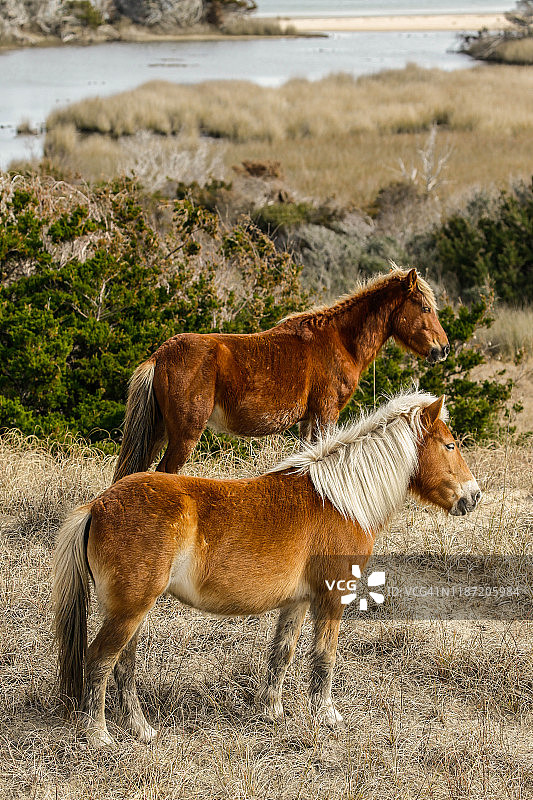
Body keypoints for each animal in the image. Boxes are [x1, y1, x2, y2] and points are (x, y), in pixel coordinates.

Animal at [53, 391, 480, 747]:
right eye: (450, 444)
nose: (473, 497)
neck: (340, 500)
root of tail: (96, 507)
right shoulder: (332, 596)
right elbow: (324, 656)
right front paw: (327, 716)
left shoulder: (298, 600)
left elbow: (283, 653)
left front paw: (272, 711)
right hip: (130, 609)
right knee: (99, 661)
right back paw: (99, 736)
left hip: (131, 610)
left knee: (123, 665)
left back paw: (142, 730)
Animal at [112, 267, 449, 481]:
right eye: (424, 307)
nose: (443, 349)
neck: (339, 339)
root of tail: (159, 355)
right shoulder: (326, 413)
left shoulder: (308, 420)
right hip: (184, 433)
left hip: (158, 430)